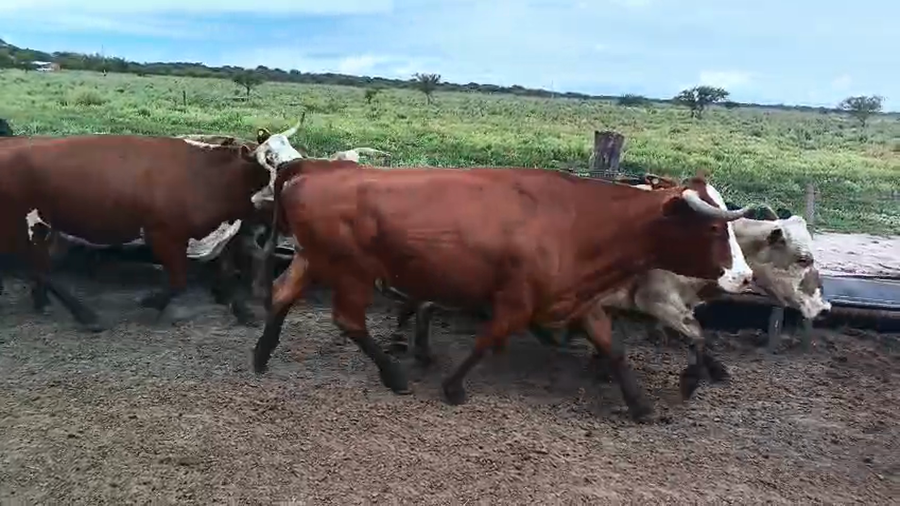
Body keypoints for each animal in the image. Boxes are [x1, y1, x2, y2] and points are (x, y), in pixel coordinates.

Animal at [0, 121, 305, 331]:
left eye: (297, 155)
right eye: (270, 158)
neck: (210, 176)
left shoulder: (224, 237)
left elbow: (226, 273)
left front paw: (241, 310)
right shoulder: (163, 235)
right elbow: (179, 281)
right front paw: (152, 302)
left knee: (38, 268)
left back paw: (45, 302)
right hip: (24, 225)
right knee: (39, 269)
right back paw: (85, 315)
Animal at [251, 162, 758, 422]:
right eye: (714, 227)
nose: (745, 276)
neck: (577, 220)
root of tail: (310, 171)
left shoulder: (581, 302)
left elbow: (613, 351)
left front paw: (641, 405)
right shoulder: (517, 301)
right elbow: (487, 338)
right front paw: (454, 386)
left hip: (312, 259)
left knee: (281, 292)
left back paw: (262, 354)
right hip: (351, 270)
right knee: (349, 320)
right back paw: (393, 375)